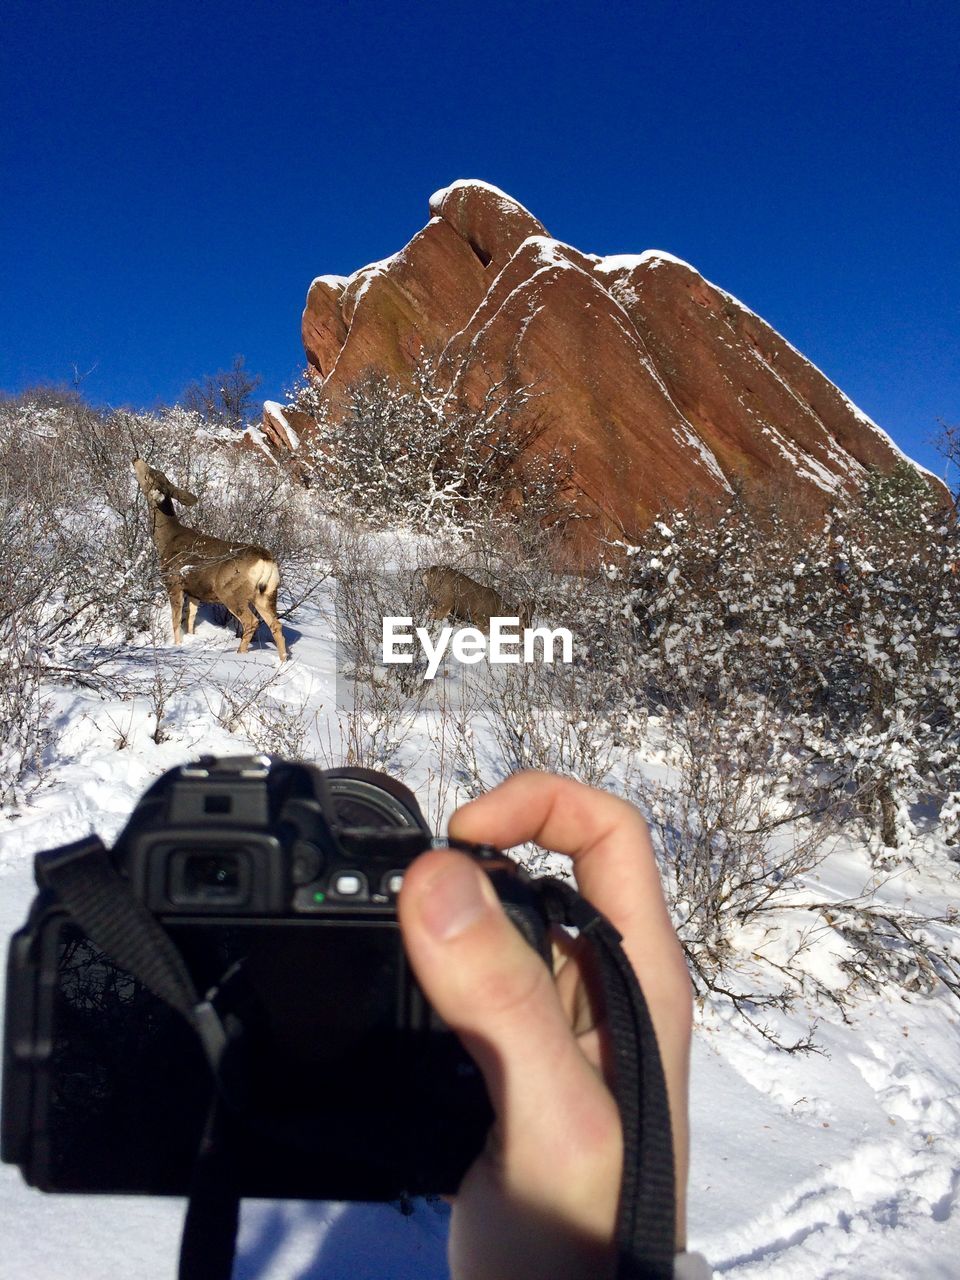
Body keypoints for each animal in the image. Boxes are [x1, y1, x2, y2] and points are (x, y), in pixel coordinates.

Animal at [133, 458, 288, 660]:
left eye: (148, 476)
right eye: (155, 472)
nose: (136, 459)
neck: (166, 539)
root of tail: (266, 560)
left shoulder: (174, 582)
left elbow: (176, 620)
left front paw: (177, 645)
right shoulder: (194, 591)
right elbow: (191, 619)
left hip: (230, 591)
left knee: (251, 621)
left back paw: (239, 654)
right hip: (267, 593)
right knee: (276, 625)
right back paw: (283, 661)